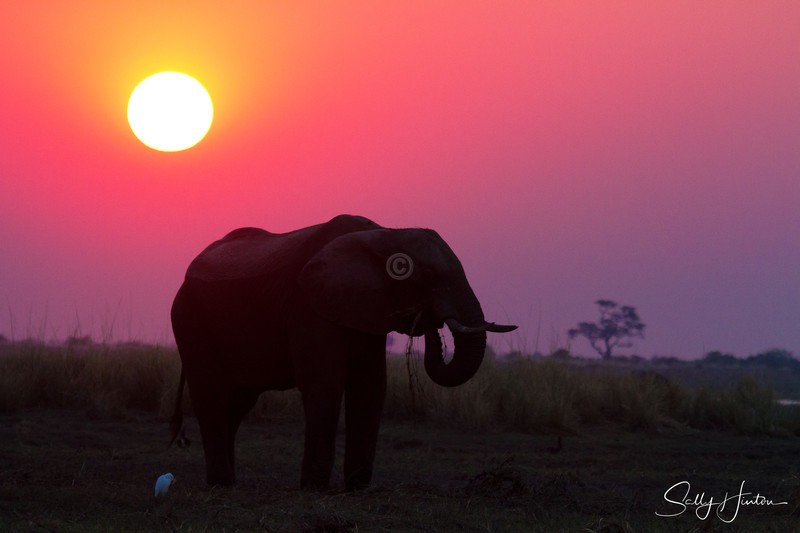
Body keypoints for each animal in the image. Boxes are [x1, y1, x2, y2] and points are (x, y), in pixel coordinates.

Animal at [169, 214, 516, 490]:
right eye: (427, 276)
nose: (427, 319)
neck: (383, 233)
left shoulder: (367, 308)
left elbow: (371, 387)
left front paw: (358, 486)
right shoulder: (308, 305)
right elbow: (326, 384)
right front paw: (314, 487)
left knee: (238, 402)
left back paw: (228, 481)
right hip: (189, 321)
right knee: (212, 395)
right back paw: (221, 483)